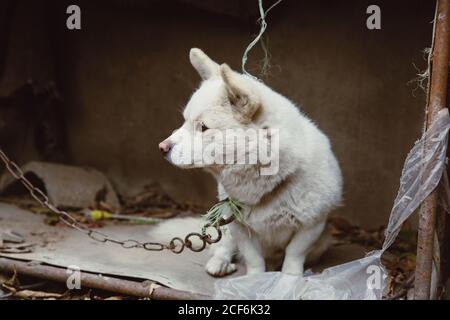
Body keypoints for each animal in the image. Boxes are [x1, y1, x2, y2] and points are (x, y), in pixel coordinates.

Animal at [155, 48, 342, 276]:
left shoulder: (312, 226)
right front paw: (254, 279)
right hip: (225, 226)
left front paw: (290, 277)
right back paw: (221, 262)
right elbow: (253, 259)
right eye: (185, 121)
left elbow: (294, 255)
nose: (162, 147)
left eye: (203, 127)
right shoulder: (238, 227)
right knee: (222, 246)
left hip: (322, 242)